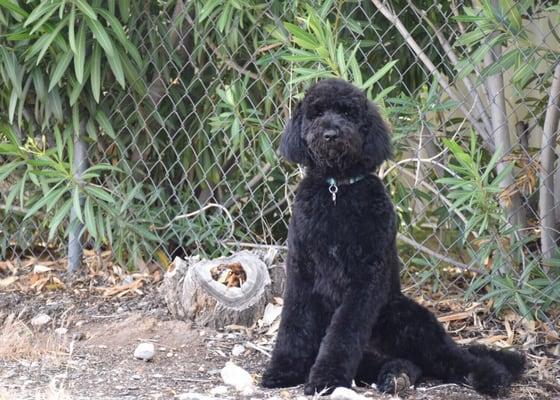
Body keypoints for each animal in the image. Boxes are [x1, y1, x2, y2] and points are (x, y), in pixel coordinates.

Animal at [260, 79, 524, 396]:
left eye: (347, 113)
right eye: (316, 113)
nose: (330, 134)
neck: (337, 191)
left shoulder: (365, 276)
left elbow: (343, 333)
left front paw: (325, 379)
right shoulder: (302, 270)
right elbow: (293, 324)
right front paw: (283, 370)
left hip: (407, 320)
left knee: (456, 358)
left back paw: (491, 376)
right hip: (375, 354)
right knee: (409, 364)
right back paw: (395, 377)